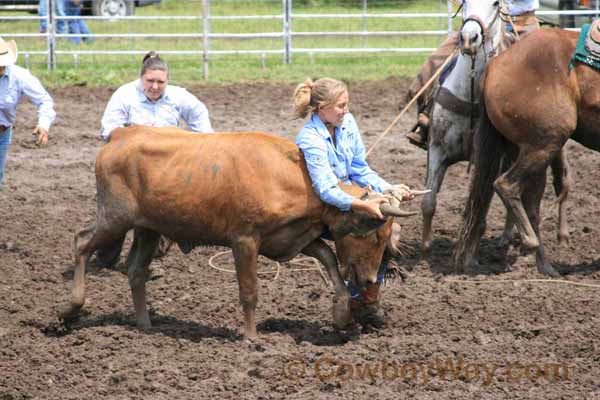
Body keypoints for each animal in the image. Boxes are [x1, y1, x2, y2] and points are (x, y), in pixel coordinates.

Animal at [452, 28, 596, 276]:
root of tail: (496, 63)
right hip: (544, 143)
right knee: (506, 185)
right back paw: (530, 242)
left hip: (526, 149)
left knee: (530, 205)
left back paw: (545, 266)